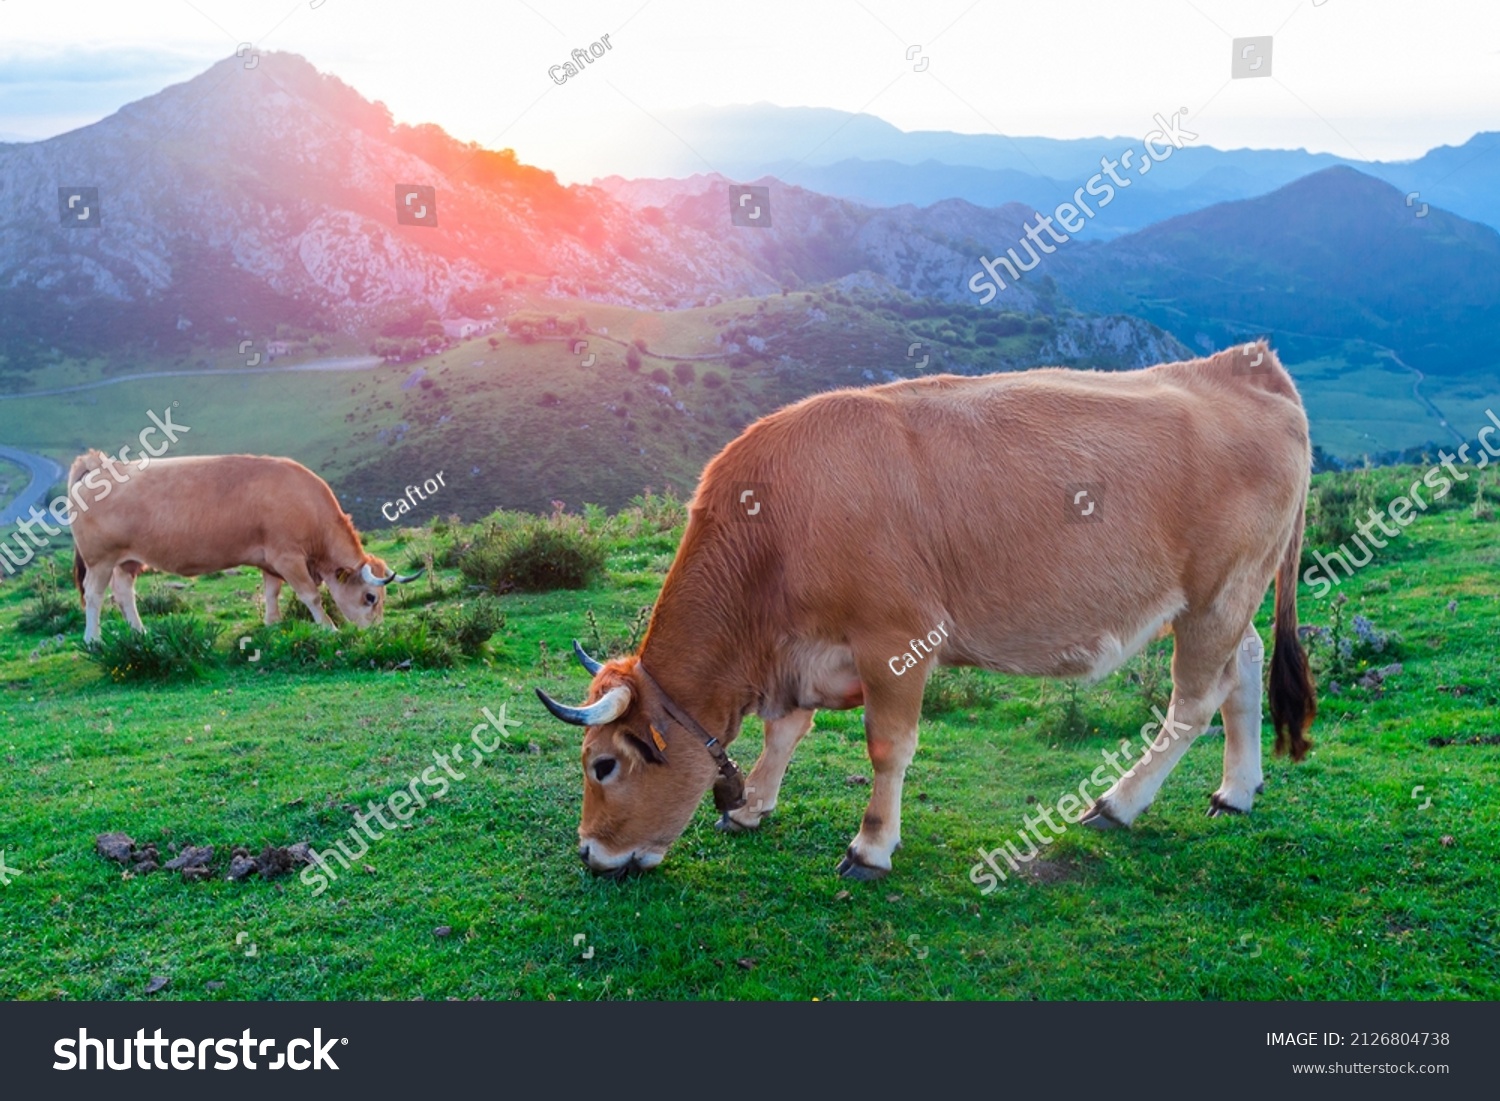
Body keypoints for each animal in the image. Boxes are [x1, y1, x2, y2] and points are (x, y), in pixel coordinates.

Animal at [63, 450, 417, 648]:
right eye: (370, 597)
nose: (376, 632)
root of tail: (98, 466)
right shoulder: (288, 557)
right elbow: (311, 596)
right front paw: (328, 628)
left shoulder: (271, 560)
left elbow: (272, 592)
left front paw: (273, 625)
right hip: (100, 560)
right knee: (94, 597)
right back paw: (93, 640)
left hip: (127, 561)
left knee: (124, 595)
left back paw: (141, 634)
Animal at [540, 340, 1314, 882]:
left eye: (602, 765)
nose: (589, 854)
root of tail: (1242, 364)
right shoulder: (802, 654)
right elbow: (783, 731)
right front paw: (753, 806)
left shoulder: (895, 638)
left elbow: (887, 746)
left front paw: (871, 846)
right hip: (1230, 595)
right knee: (1244, 666)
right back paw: (1236, 791)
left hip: (1218, 590)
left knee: (1195, 699)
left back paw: (1119, 804)